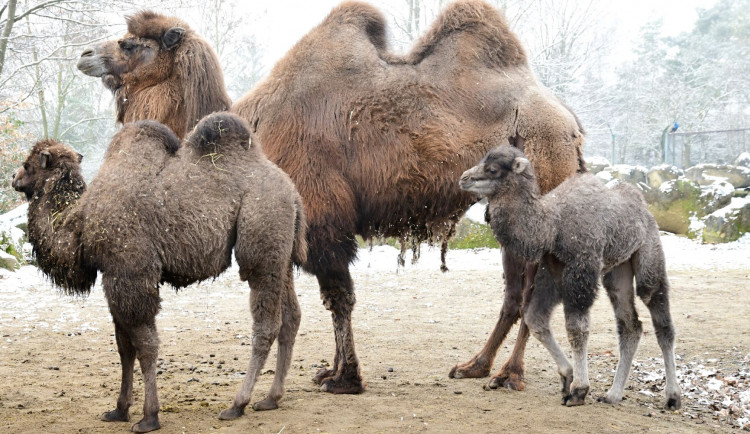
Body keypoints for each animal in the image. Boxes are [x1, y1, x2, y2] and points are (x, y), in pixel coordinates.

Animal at [11, 112, 306, 430]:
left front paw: (149, 416)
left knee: (266, 324)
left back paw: (237, 404)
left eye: (28, 164)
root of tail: (293, 193)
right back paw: (271, 398)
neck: (80, 221)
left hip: (261, 246)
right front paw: (118, 410)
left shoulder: (131, 274)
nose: (13, 178)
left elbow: (146, 345)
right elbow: (124, 347)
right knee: (290, 317)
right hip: (282, 256)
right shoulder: (113, 278)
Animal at [79, 0, 592, 394]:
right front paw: (330, 371)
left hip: (541, 177)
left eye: (130, 44)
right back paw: (475, 366)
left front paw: (346, 378)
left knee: (533, 288)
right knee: (514, 291)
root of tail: (569, 123)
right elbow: (308, 303)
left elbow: (338, 298)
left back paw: (509, 374)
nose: (84, 54)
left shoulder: (323, 220)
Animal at [462, 146, 684, 410]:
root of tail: (645, 209)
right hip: (617, 271)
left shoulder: (581, 271)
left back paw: (673, 397)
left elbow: (576, 329)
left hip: (649, 253)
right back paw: (612, 395)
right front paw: (568, 376)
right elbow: (535, 320)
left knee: (659, 315)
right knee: (630, 325)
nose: (464, 178)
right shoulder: (551, 272)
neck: (551, 226)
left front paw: (579, 390)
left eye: (493, 169)